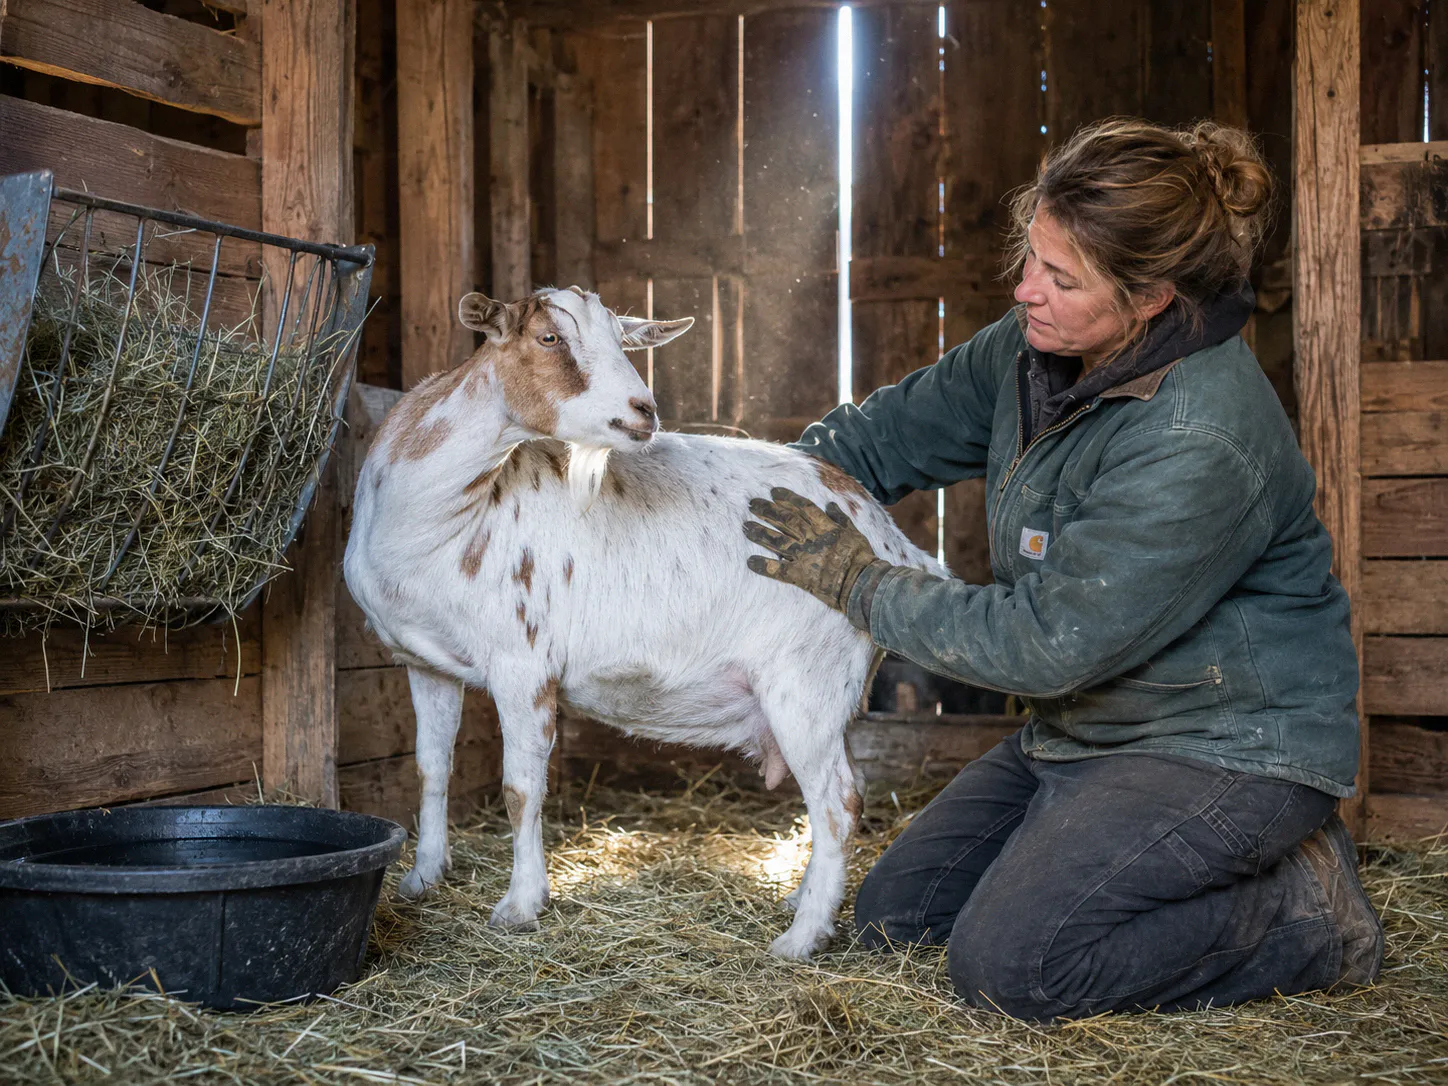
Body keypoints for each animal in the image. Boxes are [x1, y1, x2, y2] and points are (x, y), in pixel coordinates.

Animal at [343, 287, 947, 958]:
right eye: (549, 338)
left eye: (618, 340)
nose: (644, 410)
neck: (445, 516)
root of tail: (889, 542)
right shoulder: (425, 663)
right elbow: (430, 768)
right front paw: (423, 877)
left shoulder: (524, 664)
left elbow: (520, 789)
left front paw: (520, 906)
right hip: (830, 693)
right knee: (846, 791)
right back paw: (805, 901)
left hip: (805, 681)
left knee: (839, 802)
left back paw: (801, 937)